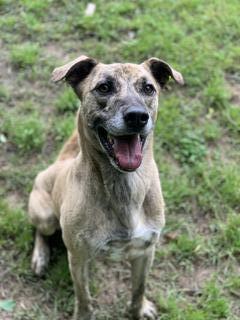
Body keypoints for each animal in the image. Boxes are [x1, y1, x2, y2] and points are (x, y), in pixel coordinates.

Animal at [27, 55, 184, 320]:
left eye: (148, 88)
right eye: (104, 87)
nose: (137, 116)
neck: (124, 188)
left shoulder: (146, 251)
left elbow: (139, 288)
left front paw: (139, 309)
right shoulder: (78, 258)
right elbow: (84, 298)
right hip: (46, 216)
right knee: (41, 231)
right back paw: (40, 256)